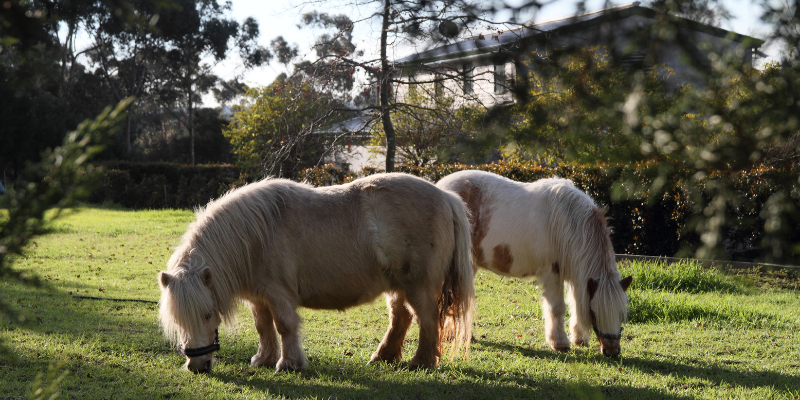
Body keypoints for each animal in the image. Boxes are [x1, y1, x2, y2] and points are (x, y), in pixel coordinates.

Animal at [156, 173, 476, 374]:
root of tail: (446, 197)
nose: (197, 366)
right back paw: (383, 357)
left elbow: (284, 326)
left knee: (427, 319)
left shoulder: (278, 294)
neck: (255, 236)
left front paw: (289, 364)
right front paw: (263, 359)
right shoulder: (258, 298)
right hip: (398, 284)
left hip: (417, 285)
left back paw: (421, 362)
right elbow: (263, 327)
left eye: (208, 314)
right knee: (401, 317)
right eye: (178, 320)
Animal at [438, 169, 632, 356]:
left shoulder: (575, 275)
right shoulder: (552, 273)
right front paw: (560, 343)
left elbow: (576, 304)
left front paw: (579, 339)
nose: (612, 351)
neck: (566, 222)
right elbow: (557, 308)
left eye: (621, 314)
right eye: (594, 313)